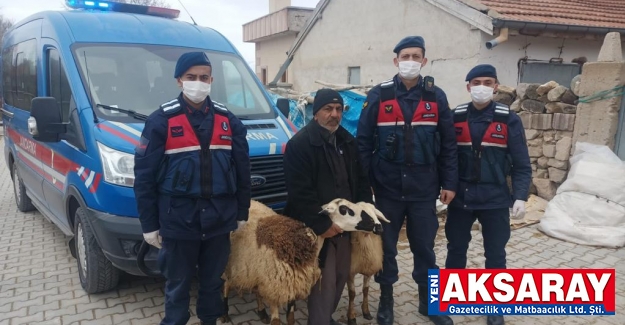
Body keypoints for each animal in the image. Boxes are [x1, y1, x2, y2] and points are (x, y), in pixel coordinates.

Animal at [218, 197, 386, 324]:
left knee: (256, 289)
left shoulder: (291, 284)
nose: (377, 226)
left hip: (256, 269)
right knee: (226, 285)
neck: (296, 242)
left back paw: (262, 312)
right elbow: (276, 321)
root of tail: (253, 201)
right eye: (345, 210)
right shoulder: (277, 286)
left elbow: (291, 318)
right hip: (231, 264)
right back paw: (225, 313)